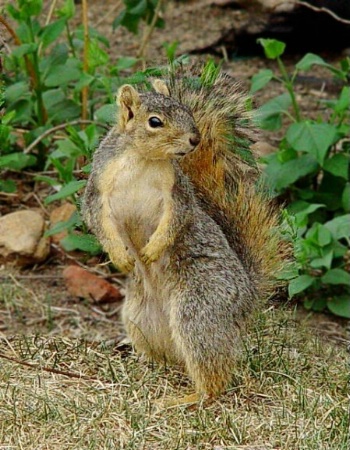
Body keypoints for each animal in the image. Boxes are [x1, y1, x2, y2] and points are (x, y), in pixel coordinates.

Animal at [82, 67, 290, 404]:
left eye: (188, 112)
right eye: (155, 121)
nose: (195, 139)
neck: (143, 160)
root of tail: (248, 297)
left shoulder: (177, 192)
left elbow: (175, 219)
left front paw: (153, 249)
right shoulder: (98, 189)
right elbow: (97, 221)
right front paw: (120, 257)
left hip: (201, 308)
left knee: (212, 371)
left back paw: (191, 397)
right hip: (140, 318)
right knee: (176, 357)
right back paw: (152, 368)